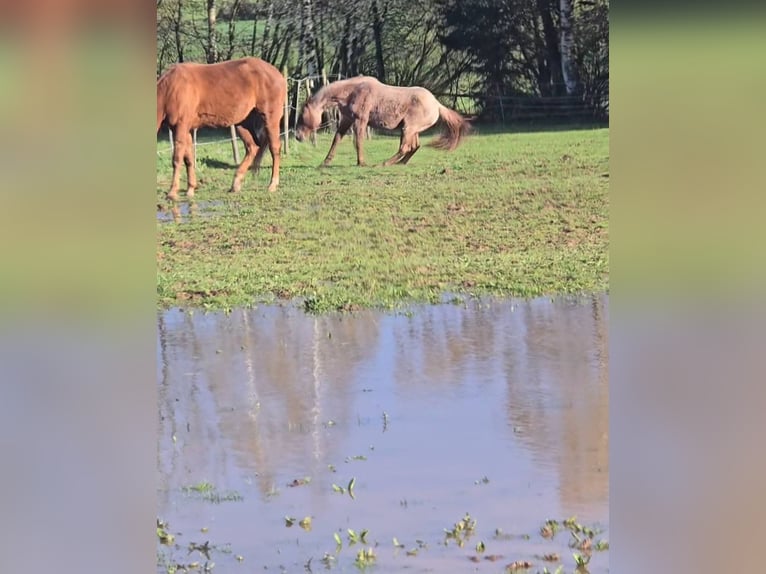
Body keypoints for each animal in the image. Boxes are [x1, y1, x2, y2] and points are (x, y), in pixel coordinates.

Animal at [157, 57, 287, 201]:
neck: (170, 87)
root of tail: (277, 74)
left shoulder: (180, 126)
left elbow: (177, 159)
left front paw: (172, 192)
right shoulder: (187, 130)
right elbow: (189, 159)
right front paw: (190, 189)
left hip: (270, 118)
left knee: (274, 148)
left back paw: (272, 184)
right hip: (242, 124)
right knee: (252, 148)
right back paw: (236, 184)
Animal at [294, 76, 470, 167]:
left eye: (302, 116)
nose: (298, 136)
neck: (353, 91)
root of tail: (437, 104)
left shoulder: (360, 121)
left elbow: (358, 142)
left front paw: (361, 163)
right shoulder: (347, 120)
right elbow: (336, 139)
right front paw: (325, 162)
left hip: (408, 129)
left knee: (405, 148)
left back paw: (384, 164)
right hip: (412, 130)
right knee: (413, 147)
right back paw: (399, 164)